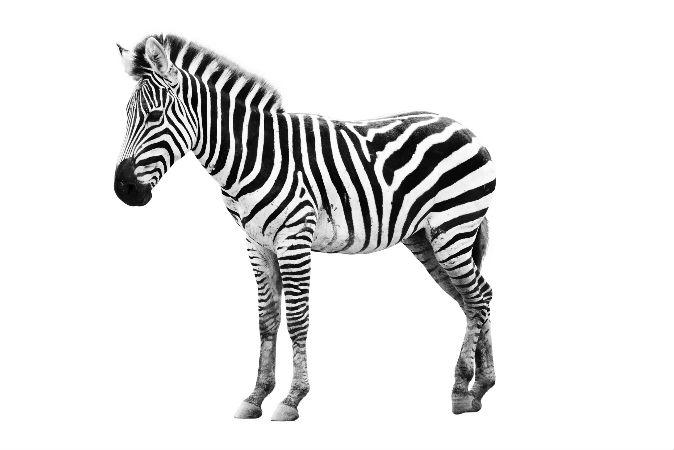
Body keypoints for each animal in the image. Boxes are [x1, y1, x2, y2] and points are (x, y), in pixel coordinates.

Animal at [114, 34, 496, 421]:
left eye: (155, 116)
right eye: (126, 117)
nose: (123, 190)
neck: (251, 156)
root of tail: (463, 127)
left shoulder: (293, 238)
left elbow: (297, 319)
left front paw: (292, 398)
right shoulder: (257, 244)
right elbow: (267, 319)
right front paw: (256, 396)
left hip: (453, 228)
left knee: (478, 297)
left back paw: (460, 391)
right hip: (426, 238)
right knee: (475, 297)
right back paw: (480, 388)